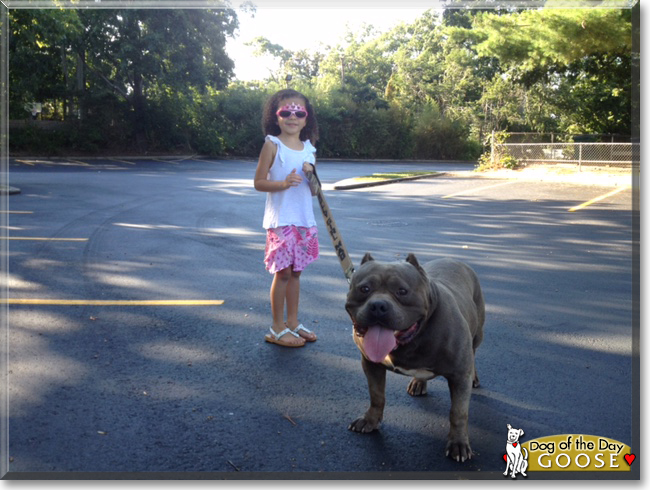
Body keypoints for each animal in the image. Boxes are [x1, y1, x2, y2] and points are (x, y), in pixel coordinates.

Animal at [344, 255, 480, 462]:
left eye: (402, 291)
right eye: (364, 289)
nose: (378, 306)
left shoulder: (459, 376)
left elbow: (458, 413)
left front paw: (458, 443)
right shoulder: (371, 364)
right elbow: (376, 395)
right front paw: (370, 420)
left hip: (478, 335)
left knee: (474, 353)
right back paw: (418, 382)